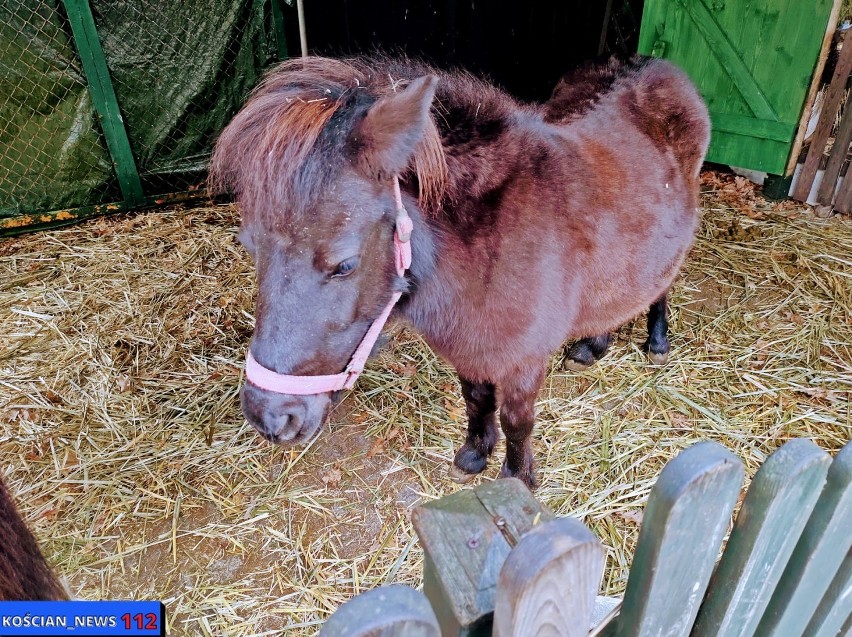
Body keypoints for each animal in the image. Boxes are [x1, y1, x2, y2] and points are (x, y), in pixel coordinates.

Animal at [210, 56, 708, 486]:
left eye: (344, 264)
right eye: (249, 245)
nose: (271, 417)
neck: (487, 255)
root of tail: (657, 64)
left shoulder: (523, 363)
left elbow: (517, 421)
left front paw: (516, 479)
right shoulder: (469, 349)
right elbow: (477, 401)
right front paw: (473, 455)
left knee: (661, 285)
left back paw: (657, 342)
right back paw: (593, 344)